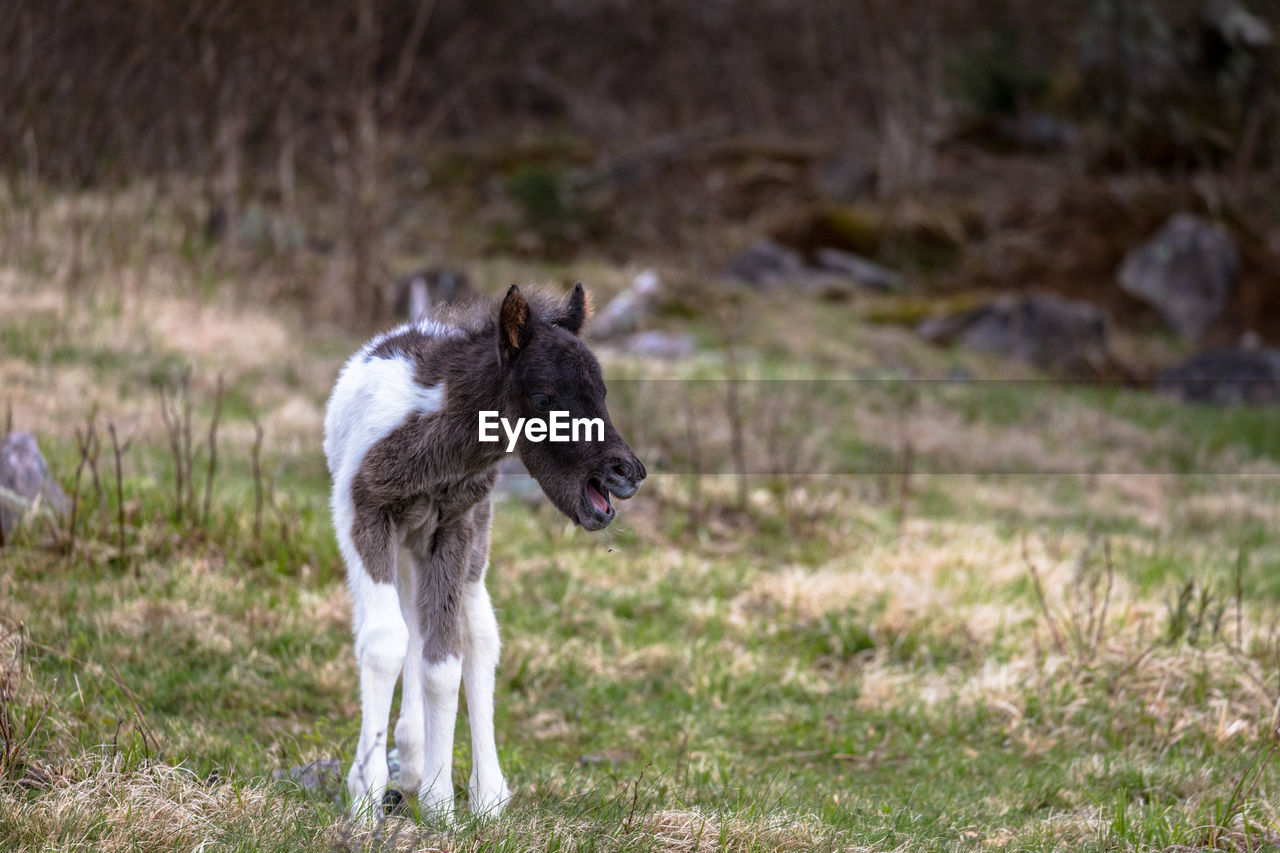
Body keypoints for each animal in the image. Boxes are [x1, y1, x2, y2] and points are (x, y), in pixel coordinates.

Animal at [325, 284, 645, 819]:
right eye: (545, 397)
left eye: (602, 394)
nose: (628, 472)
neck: (434, 449)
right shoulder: (364, 514)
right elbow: (386, 641)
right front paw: (367, 793)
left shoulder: (453, 527)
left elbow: (444, 660)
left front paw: (440, 801)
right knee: (411, 622)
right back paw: (408, 762)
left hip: (473, 541)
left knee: (477, 633)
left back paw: (485, 791)